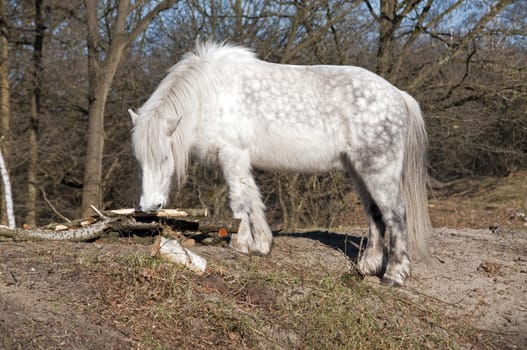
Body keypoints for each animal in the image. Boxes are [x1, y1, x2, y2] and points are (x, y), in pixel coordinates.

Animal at [129, 41, 434, 288]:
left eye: (165, 157)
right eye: (140, 159)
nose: (150, 206)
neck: (210, 95)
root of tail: (397, 95)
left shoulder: (232, 155)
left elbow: (238, 200)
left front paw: (240, 244)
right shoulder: (240, 160)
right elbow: (252, 199)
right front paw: (262, 245)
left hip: (378, 170)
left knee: (395, 214)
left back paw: (394, 275)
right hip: (359, 171)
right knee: (375, 214)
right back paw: (368, 266)